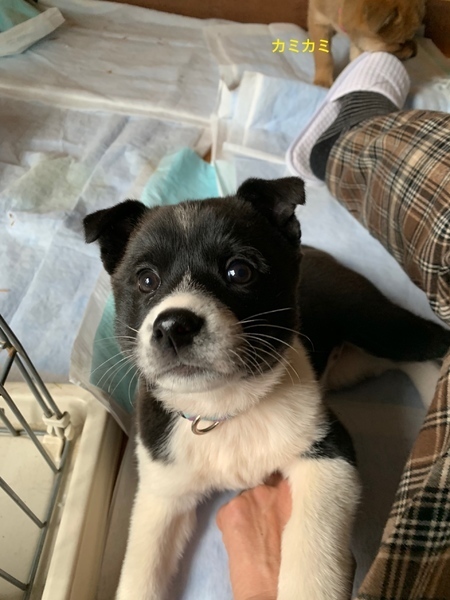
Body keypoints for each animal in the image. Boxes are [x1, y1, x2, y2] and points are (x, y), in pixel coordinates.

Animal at [84, 177, 450, 600]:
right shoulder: (163, 493)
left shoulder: (327, 452)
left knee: (428, 342)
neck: (223, 410)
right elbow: (142, 570)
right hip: (351, 362)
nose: (174, 326)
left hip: (375, 323)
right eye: (146, 280)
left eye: (239, 272)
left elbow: (312, 541)